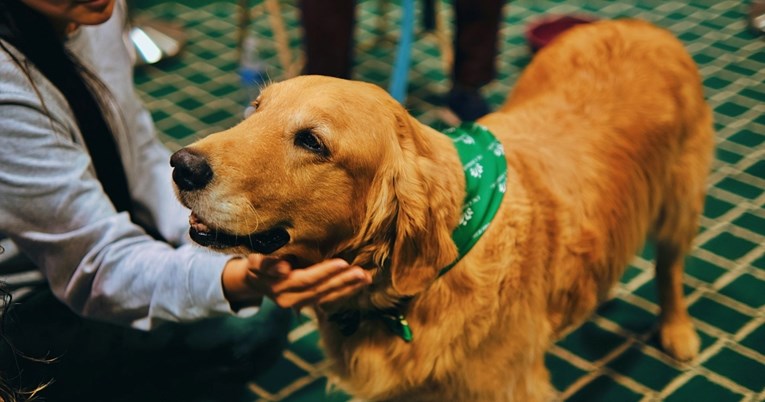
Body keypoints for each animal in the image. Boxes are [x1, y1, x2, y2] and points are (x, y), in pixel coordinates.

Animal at [170, 20, 712, 402]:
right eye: (255, 109)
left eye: (312, 141)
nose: (182, 166)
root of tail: (638, 25)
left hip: (680, 204)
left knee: (670, 268)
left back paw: (678, 330)